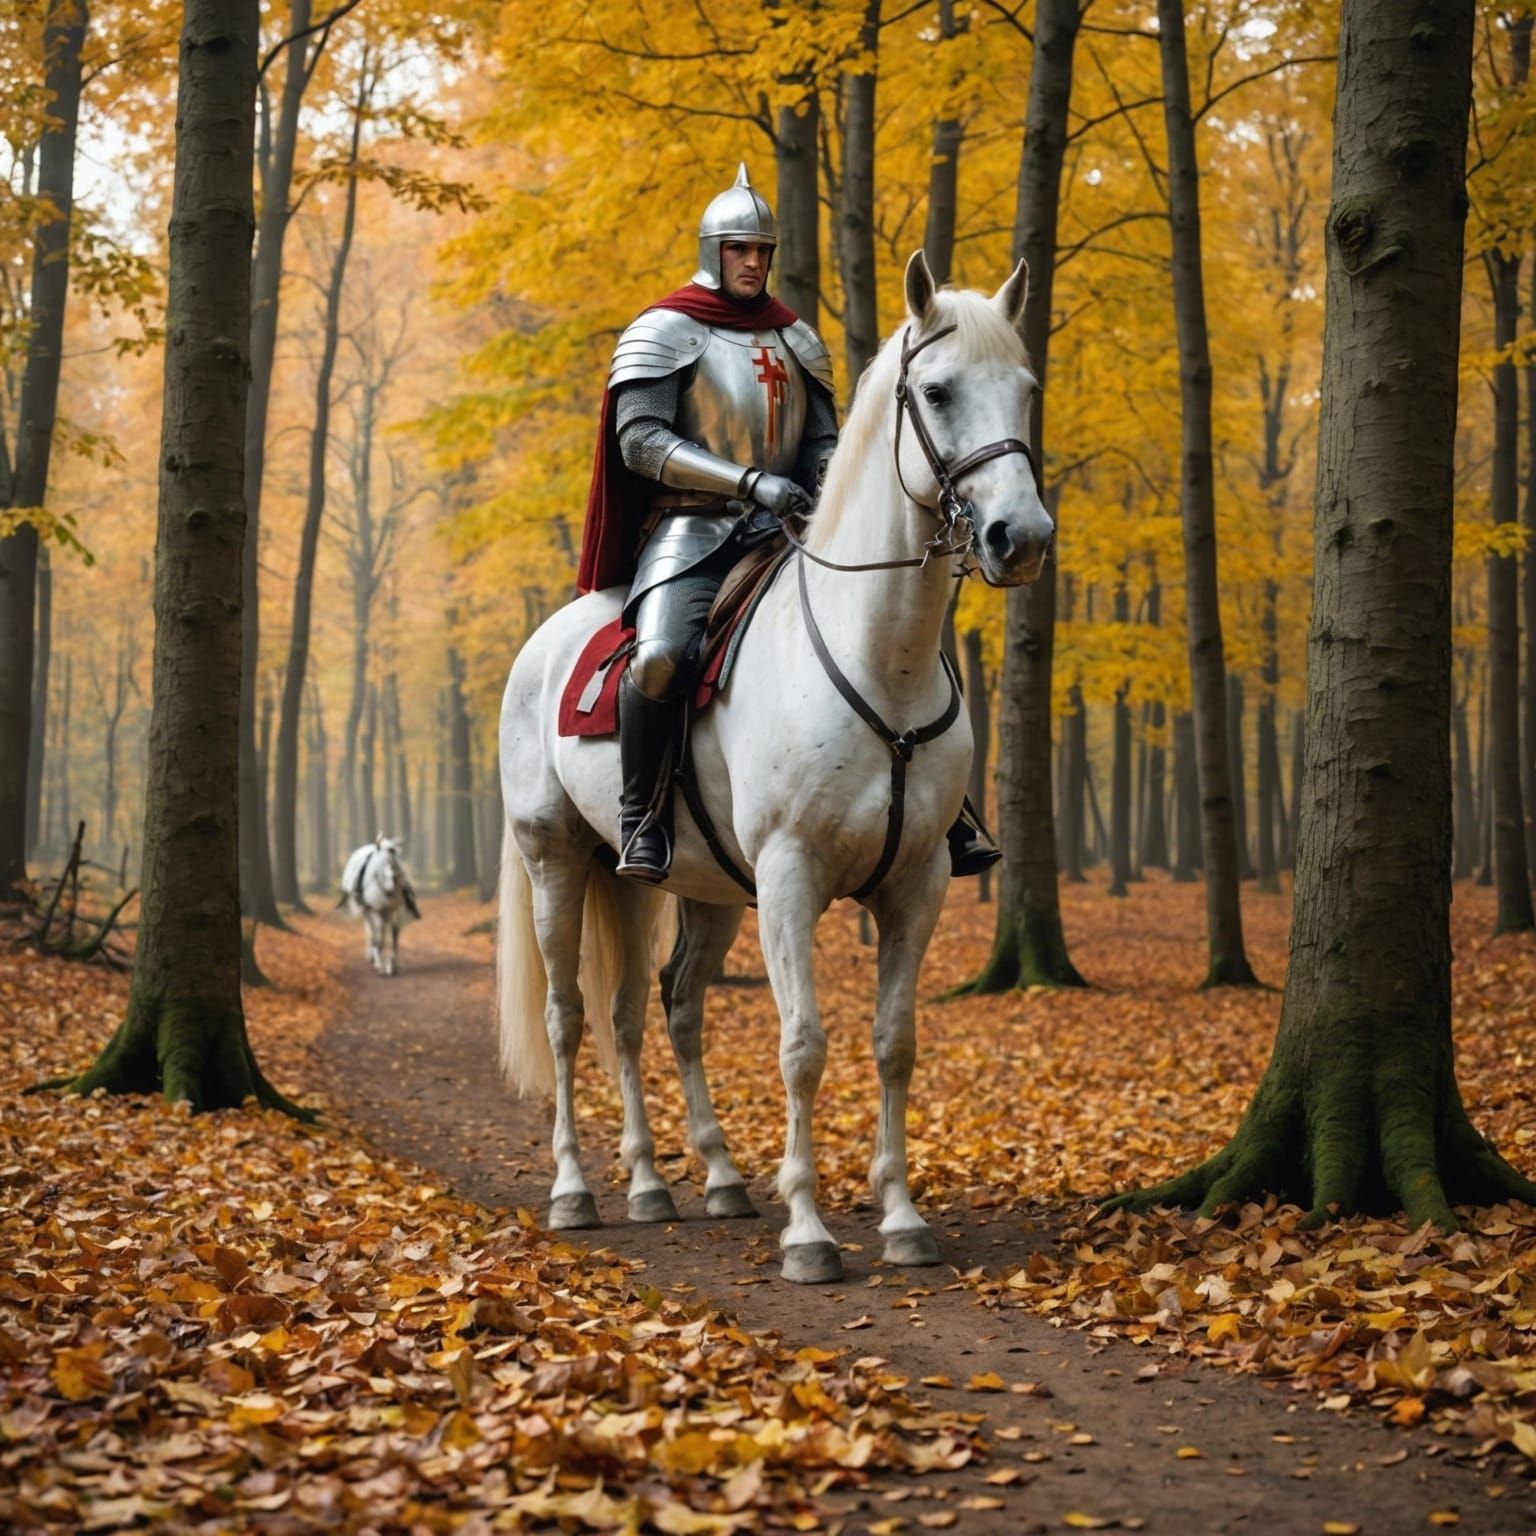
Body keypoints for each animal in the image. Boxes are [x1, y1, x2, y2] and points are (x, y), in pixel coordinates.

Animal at [341, 835, 420, 977]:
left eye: (397, 863)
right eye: (381, 863)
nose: (390, 890)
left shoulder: (394, 909)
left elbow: (394, 933)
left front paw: (392, 964)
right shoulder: (375, 909)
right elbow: (380, 935)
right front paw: (380, 964)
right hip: (368, 910)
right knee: (373, 931)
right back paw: (373, 955)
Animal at [496, 252, 1054, 1283]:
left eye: (1026, 390)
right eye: (937, 392)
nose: (1021, 539)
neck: (879, 656)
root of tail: (546, 643)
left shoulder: (917, 884)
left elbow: (894, 1042)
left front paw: (902, 1218)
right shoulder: (791, 877)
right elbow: (803, 1046)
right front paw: (809, 1232)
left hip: (682, 884)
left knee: (654, 1011)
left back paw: (678, 1180)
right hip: (557, 861)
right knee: (567, 1016)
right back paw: (577, 1192)